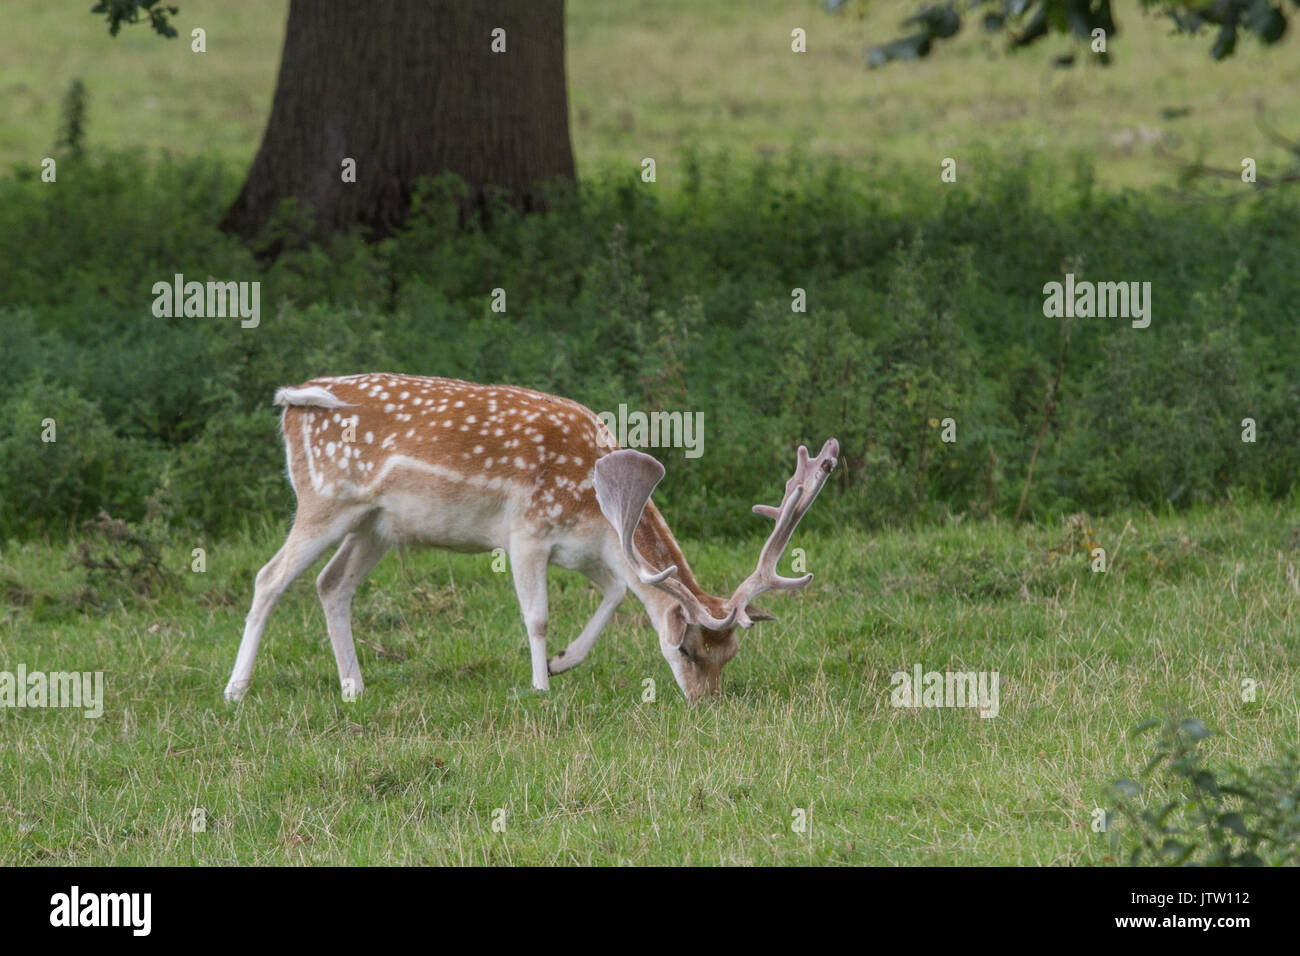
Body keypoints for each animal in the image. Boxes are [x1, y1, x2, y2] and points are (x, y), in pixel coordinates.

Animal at [226, 374, 842, 702]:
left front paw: (563, 663)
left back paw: (354, 687)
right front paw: (540, 686)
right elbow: (538, 615)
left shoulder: (587, 548)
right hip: (325, 500)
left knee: (332, 584)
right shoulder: (526, 532)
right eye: (686, 647)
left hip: (376, 523)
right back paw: (237, 689)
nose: (704, 702)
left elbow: (616, 592)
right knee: (269, 577)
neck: (597, 502)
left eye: (731, 654)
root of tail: (293, 399)